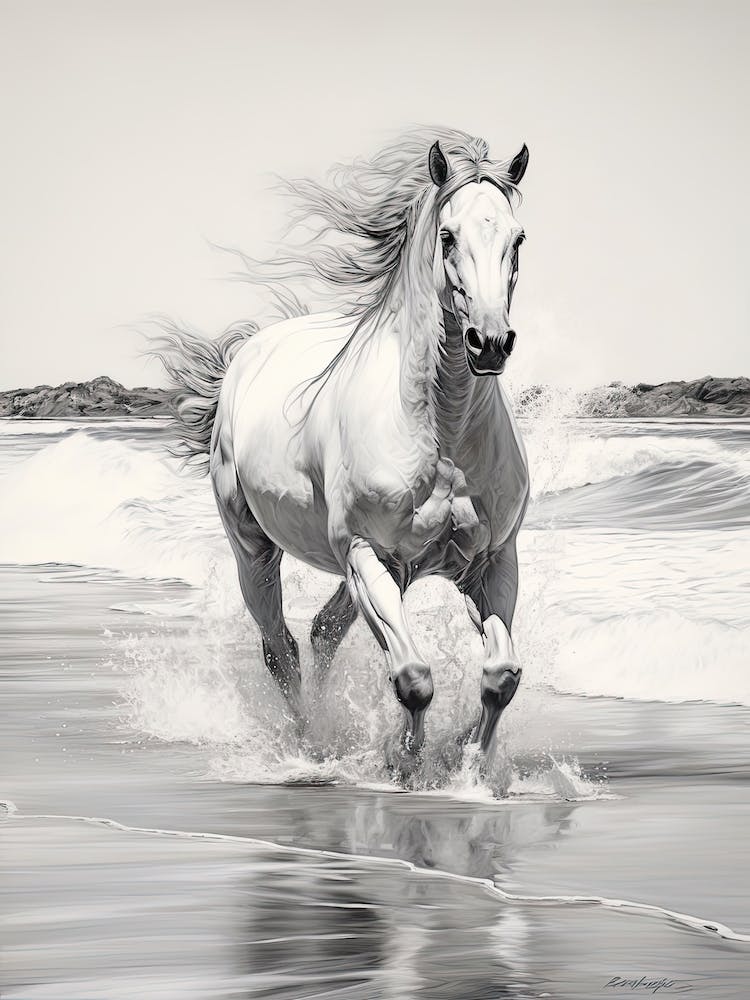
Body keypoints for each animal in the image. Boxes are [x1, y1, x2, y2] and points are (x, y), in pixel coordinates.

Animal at [156, 127, 530, 770]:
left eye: (517, 237)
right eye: (448, 236)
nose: (490, 342)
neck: (441, 432)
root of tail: (244, 356)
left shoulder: (491, 562)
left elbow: (500, 676)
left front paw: (468, 762)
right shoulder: (366, 553)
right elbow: (413, 677)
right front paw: (404, 762)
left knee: (322, 633)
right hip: (258, 552)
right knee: (280, 648)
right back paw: (311, 743)